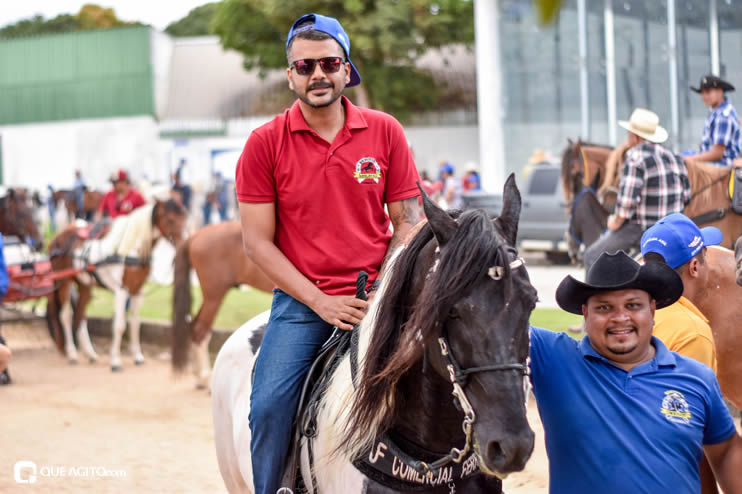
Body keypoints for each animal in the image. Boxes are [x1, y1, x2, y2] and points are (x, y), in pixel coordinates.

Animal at [47, 200, 186, 370]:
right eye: (170, 220)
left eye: (184, 217)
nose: (185, 243)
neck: (131, 249)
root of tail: (58, 237)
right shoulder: (122, 291)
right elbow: (119, 325)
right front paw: (115, 361)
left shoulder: (137, 291)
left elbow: (135, 324)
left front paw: (137, 356)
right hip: (64, 282)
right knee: (66, 316)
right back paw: (72, 354)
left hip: (85, 285)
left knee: (80, 315)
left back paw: (90, 354)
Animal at [171, 222, 274, 388]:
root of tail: (195, 235)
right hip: (214, 295)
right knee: (200, 331)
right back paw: (204, 378)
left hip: (211, 297)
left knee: (194, 326)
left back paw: (198, 375)